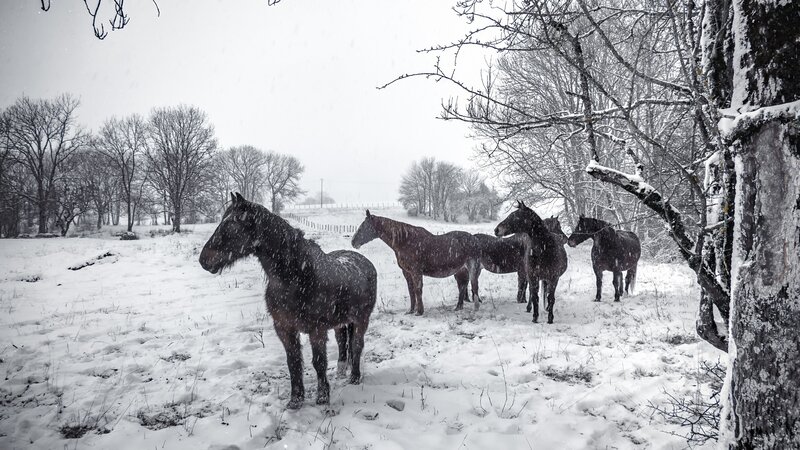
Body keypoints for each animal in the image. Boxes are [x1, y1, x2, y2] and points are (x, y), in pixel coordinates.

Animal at [199, 193, 377, 410]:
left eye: (232, 224)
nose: (204, 260)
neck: (297, 276)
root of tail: (363, 260)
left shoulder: (316, 330)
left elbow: (319, 362)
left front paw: (322, 397)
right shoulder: (284, 328)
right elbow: (293, 362)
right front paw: (296, 400)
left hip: (361, 320)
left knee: (357, 345)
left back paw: (354, 378)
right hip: (340, 323)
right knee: (343, 343)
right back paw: (342, 371)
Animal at [351, 211, 481, 315]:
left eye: (364, 226)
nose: (353, 242)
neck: (406, 241)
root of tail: (474, 239)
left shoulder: (416, 272)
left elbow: (418, 290)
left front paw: (419, 311)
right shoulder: (407, 272)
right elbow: (411, 290)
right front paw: (411, 310)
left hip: (472, 267)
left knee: (473, 285)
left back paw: (475, 308)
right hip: (460, 270)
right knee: (462, 286)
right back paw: (458, 307)